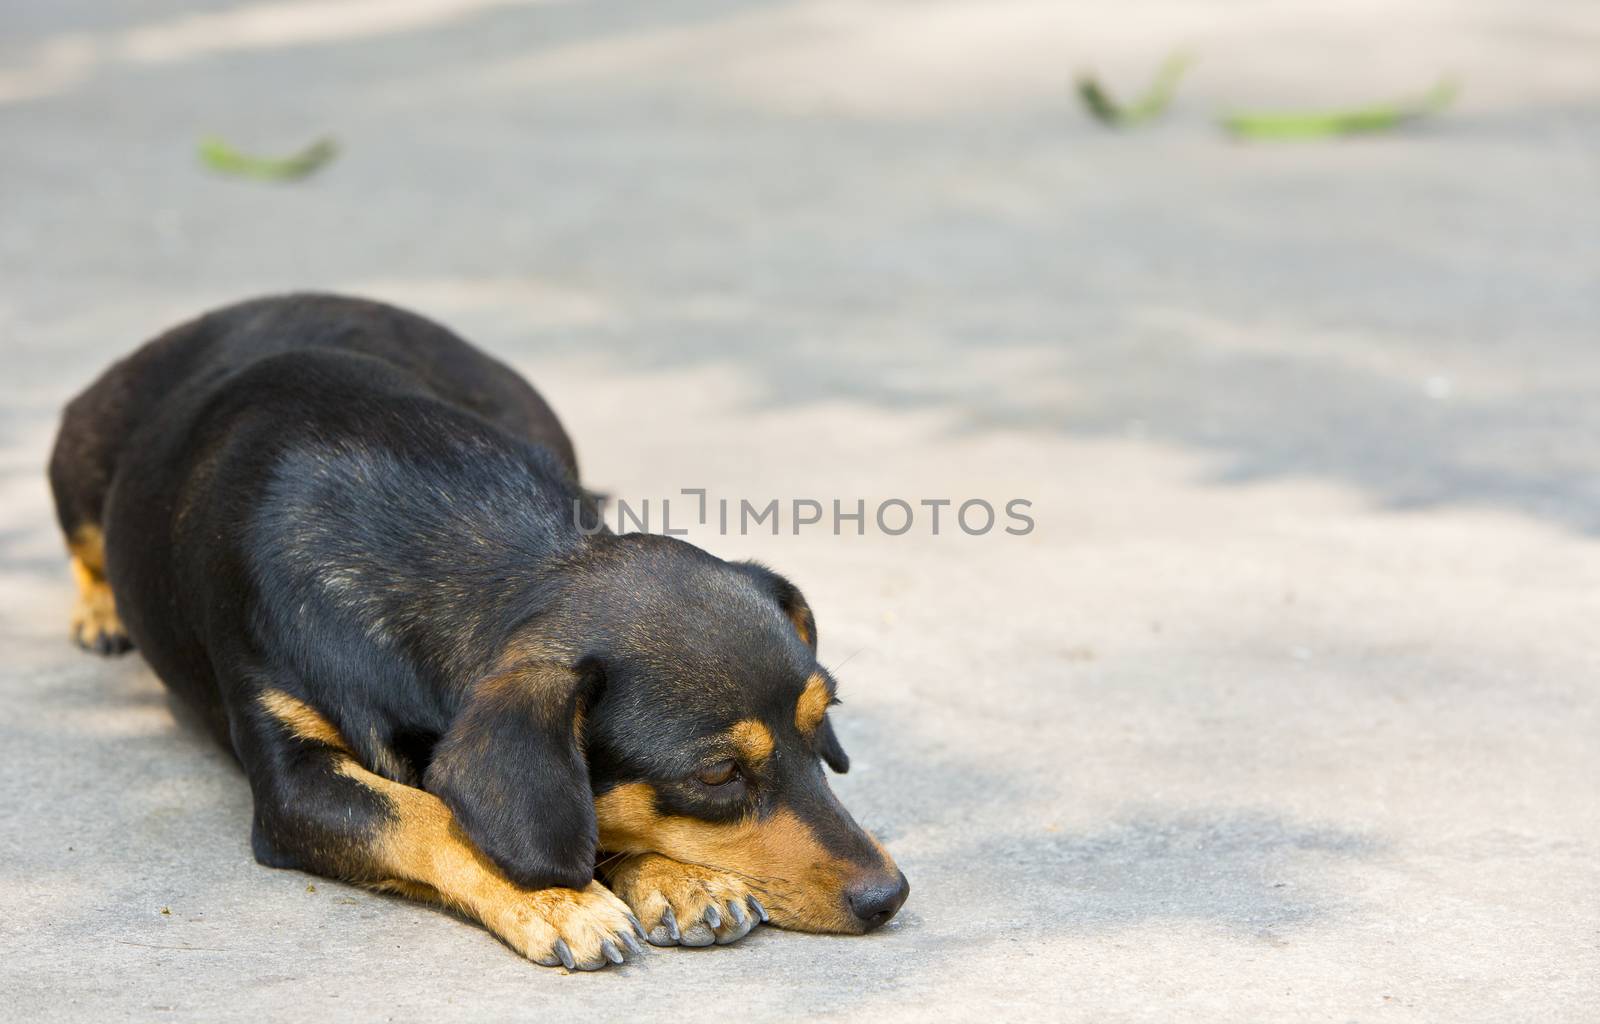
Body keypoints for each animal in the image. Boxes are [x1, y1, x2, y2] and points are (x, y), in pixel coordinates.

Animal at [43, 294, 908, 966]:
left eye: (821, 724)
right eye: (718, 776)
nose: (889, 896)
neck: (461, 550)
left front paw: (674, 874)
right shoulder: (293, 786)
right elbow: (432, 814)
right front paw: (560, 900)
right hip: (78, 462)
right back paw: (99, 611)